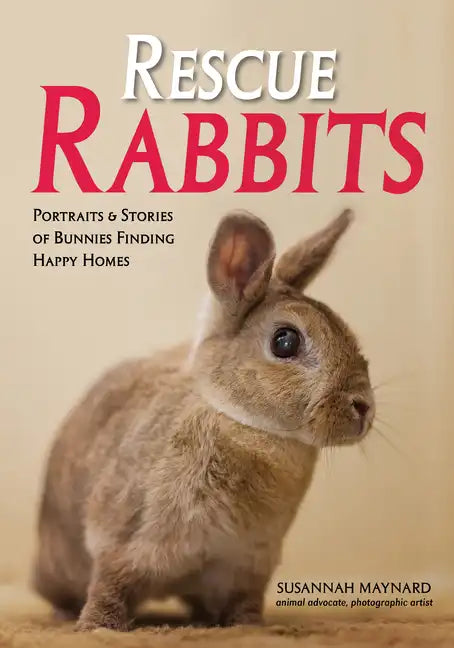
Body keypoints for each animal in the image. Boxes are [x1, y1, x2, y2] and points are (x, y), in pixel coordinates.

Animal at [33, 208, 375, 632]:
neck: (239, 421)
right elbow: (108, 586)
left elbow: (244, 604)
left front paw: (250, 628)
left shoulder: (247, 565)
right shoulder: (120, 540)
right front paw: (98, 628)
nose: (363, 406)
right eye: (285, 341)